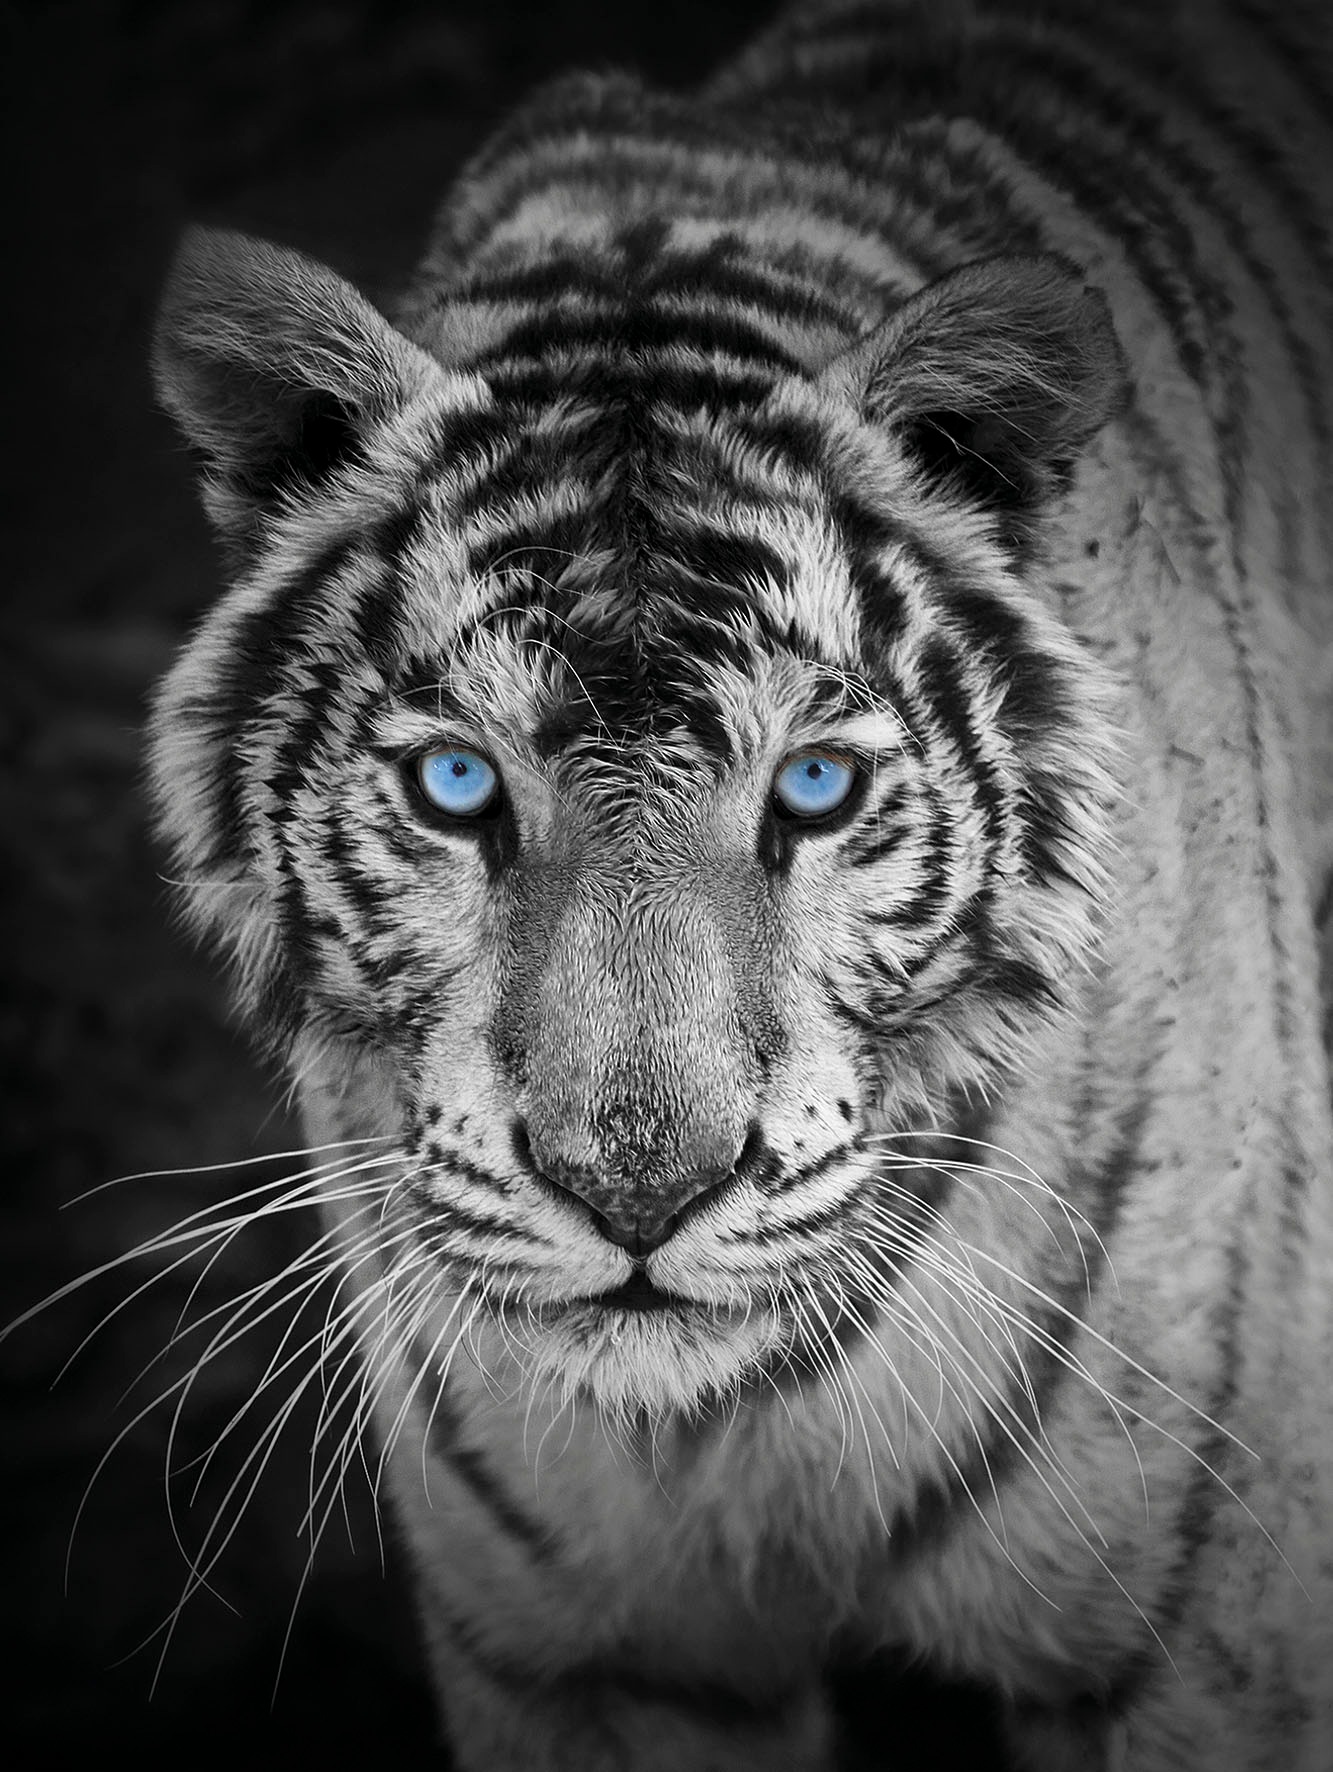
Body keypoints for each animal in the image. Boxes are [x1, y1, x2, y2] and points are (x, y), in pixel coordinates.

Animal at [145, 0, 1333, 1766]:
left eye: (816, 790)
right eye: (455, 785)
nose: (639, 1193)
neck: (729, 1434)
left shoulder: (1198, 1647)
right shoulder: (591, 1663)